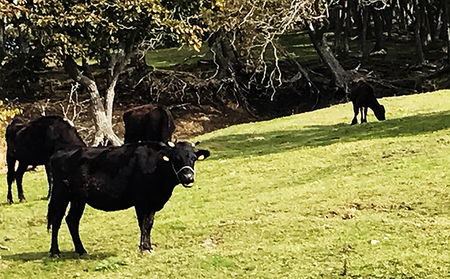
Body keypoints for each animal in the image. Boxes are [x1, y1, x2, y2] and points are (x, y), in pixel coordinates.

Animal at [46, 141, 212, 258]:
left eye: (193, 158)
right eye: (176, 158)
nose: (188, 177)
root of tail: (59, 153)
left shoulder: (152, 203)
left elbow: (149, 224)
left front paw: (148, 246)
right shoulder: (140, 201)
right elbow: (143, 224)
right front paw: (143, 248)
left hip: (79, 198)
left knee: (72, 220)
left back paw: (81, 250)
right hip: (61, 193)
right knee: (56, 219)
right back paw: (55, 252)